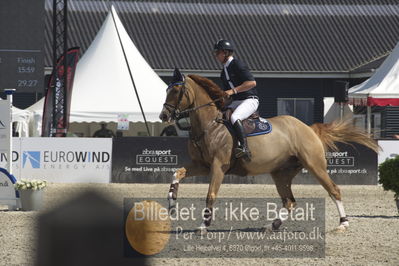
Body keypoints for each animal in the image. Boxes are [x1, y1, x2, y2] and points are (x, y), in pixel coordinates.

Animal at [159, 69, 378, 234]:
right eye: (167, 89)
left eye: (176, 90)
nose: (163, 115)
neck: (209, 125)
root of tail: (308, 128)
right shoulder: (202, 165)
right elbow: (176, 173)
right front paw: (171, 202)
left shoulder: (218, 167)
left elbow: (210, 194)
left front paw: (203, 225)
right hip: (280, 173)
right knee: (290, 202)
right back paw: (272, 225)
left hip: (315, 166)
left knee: (333, 190)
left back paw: (343, 223)